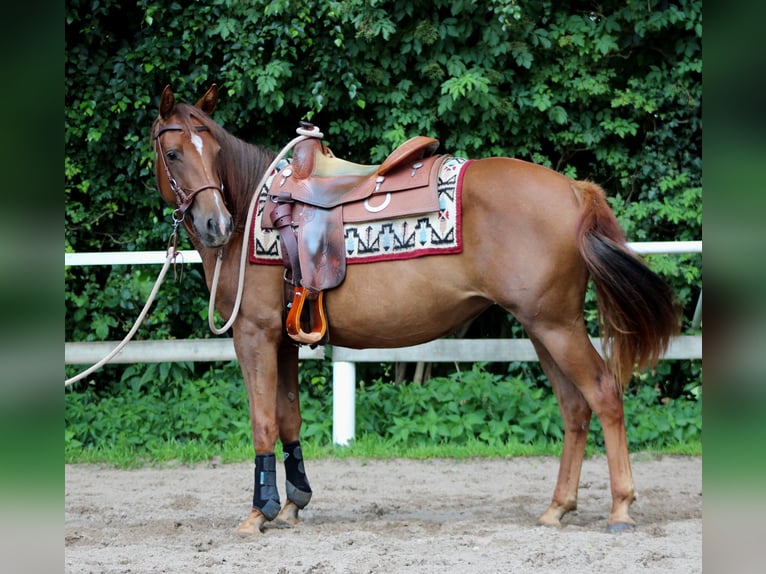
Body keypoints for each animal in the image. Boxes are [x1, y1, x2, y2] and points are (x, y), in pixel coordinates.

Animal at [151, 84, 679, 534]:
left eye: (214, 151)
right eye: (174, 153)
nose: (216, 224)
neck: (254, 214)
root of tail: (575, 190)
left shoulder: (255, 335)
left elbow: (262, 421)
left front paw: (258, 512)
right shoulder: (284, 342)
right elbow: (288, 419)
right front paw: (292, 504)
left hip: (557, 327)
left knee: (603, 393)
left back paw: (621, 508)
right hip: (543, 328)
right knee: (574, 406)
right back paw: (557, 508)